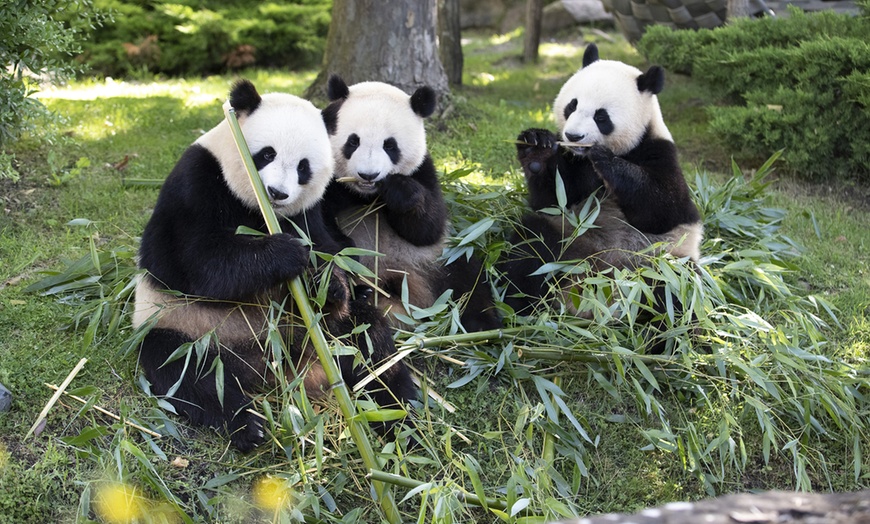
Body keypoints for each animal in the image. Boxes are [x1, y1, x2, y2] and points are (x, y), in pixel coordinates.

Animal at [131, 80, 418, 452]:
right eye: (266, 154)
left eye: (303, 167)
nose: (277, 193)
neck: (257, 208)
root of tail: (269, 364)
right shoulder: (197, 182)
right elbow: (194, 263)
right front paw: (287, 255)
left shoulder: (308, 213)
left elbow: (333, 253)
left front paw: (327, 282)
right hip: (187, 328)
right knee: (189, 374)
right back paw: (247, 425)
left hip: (322, 333)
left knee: (372, 346)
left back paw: (402, 417)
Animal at [322, 74, 500, 332]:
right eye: (353, 142)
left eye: (390, 145)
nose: (368, 175)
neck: (365, 195)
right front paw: (347, 253)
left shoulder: (423, 170)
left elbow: (428, 228)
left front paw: (400, 191)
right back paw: (358, 294)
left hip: (437, 261)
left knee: (468, 281)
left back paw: (481, 326)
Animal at [500, 45, 704, 332]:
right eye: (571, 105)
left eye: (601, 116)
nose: (573, 137)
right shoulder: (571, 171)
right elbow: (552, 199)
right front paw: (536, 148)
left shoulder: (660, 152)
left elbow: (664, 208)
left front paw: (606, 160)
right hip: (564, 241)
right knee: (530, 253)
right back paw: (519, 312)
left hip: (659, 262)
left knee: (675, 297)